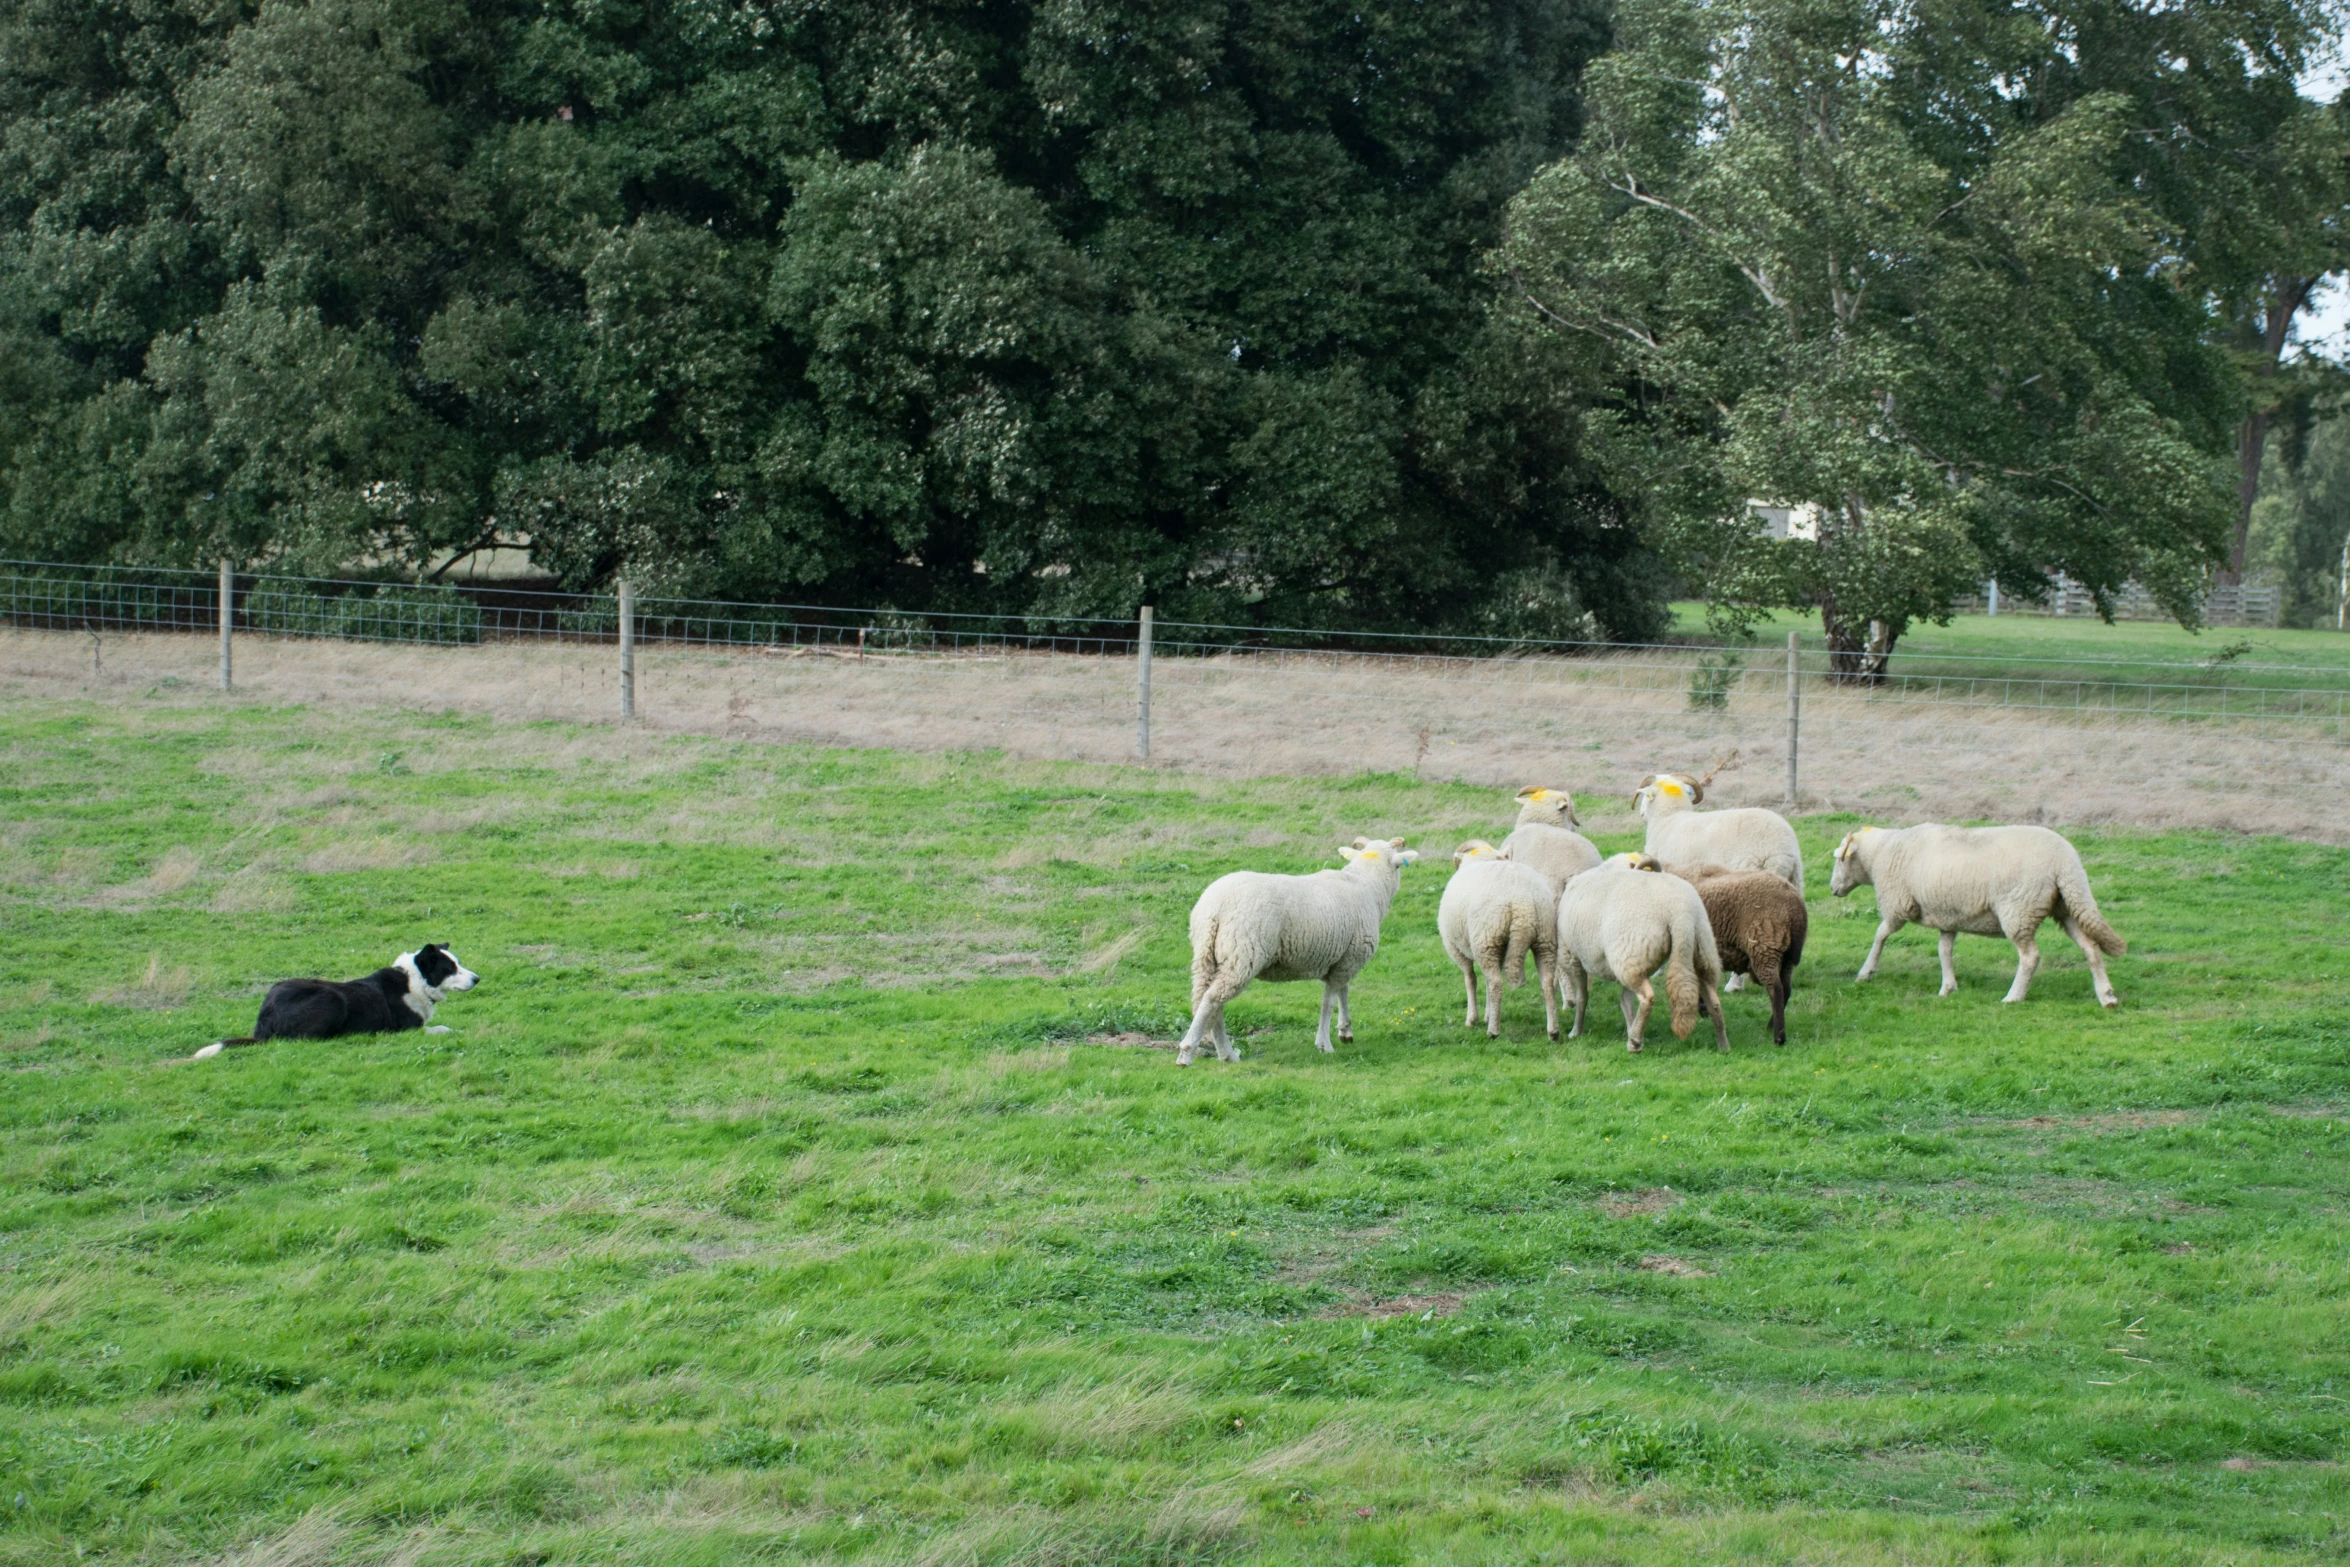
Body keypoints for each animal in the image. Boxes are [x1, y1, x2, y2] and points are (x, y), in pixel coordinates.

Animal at [1175, 831, 1410, 1066]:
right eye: (1398, 866)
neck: (1367, 884)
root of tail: (1216, 908)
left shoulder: (1345, 959)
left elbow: (1343, 992)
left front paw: (1345, 1031)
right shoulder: (1349, 959)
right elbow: (1328, 1003)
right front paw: (1324, 1043)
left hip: (1208, 955)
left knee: (1213, 1003)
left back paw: (1226, 1054)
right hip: (1242, 955)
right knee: (1212, 1000)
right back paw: (1190, 1053)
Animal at [1428, 845, 1560, 1043]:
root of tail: (1523, 902)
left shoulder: (1456, 949)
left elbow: (1471, 979)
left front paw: (1472, 1019)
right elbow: (1485, 980)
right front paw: (1488, 1014)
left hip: (1487, 939)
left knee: (1496, 983)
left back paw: (1493, 1031)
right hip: (1544, 938)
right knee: (1547, 982)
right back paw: (1553, 1031)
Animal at [1550, 859, 1738, 1052]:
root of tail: (1680, 912)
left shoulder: (1571, 957)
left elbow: (1583, 996)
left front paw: (1576, 1031)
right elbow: (1625, 1000)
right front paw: (1630, 1028)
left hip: (1629, 954)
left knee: (1647, 997)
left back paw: (1634, 1042)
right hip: (1699, 950)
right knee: (1713, 1001)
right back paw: (1723, 1045)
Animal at [1644, 859, 1804, 1043]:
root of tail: (1796, 907)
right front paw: (1703, 1006)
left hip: (1765, 948)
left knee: (1776, 989)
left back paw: (1778, 1037)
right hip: (1787, 957)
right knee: (1786, 989)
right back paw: (1770, 1026)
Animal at [1832, 826, 2133, 1010]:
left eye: (1839, 859)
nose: (1832, 888)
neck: (1880, 854)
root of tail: (2066, 861)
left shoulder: (1898, 905)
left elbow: (1880, 935)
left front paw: (1865, 973)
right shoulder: (1947, 916)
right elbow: (1944, 951)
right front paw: (1948, 988)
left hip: (2018, 909)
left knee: (2030, 957)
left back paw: (2014, 996)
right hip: (2066, 906)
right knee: (2090, 948)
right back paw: (2107, 996)